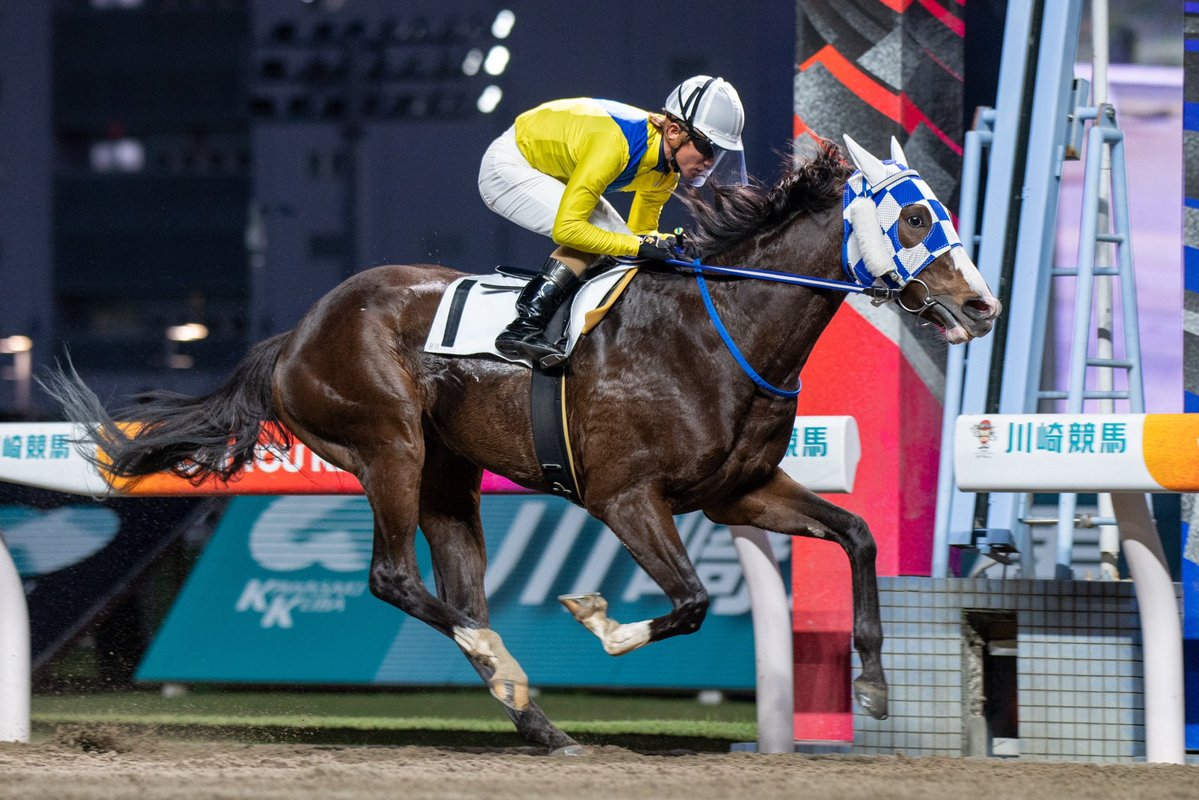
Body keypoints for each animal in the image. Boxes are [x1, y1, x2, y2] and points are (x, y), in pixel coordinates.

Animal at [46, 135, 1001, 754]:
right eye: (915, 221)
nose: (982, 306)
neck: (717, 328)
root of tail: (297, 333)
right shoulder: (625, 496)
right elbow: (691, 601)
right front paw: (599, 623)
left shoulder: (739, 490)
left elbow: (859, 536)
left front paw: (873, 683)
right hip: (388, 447)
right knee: (393, 578)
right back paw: (507, 674)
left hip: (448, 475)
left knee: (459, 594)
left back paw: (535, 715)